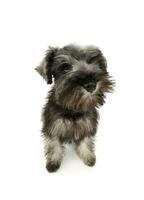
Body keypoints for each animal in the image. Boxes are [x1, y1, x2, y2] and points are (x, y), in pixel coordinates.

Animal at [35, 44, 113, 173]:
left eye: (92, 62)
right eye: (65, 67)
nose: (91, 85)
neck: (73, 108)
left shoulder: (88, 126)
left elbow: (86, 142)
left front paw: (88, 157)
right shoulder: (53, 128)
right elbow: (54, 145)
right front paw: (53, 163)